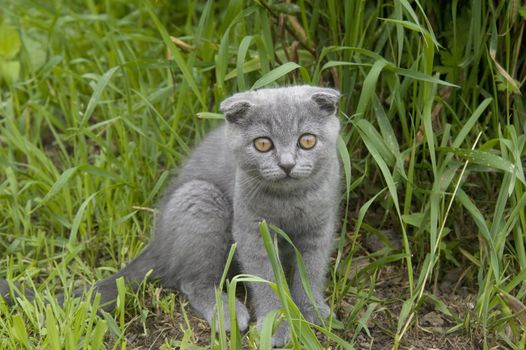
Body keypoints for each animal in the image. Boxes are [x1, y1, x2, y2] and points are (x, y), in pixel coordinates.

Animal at [0, 85, 344, 348]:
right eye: (263, 144)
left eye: (307, 140)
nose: (287, 164)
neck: (290, 200)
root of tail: (158, 241)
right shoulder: (251, 229)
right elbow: (264, 278)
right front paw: (277, 323)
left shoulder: (321, 225)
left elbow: (311, 270)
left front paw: (312, 312)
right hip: (201, 199)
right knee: (193, 282)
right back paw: (227, 312)